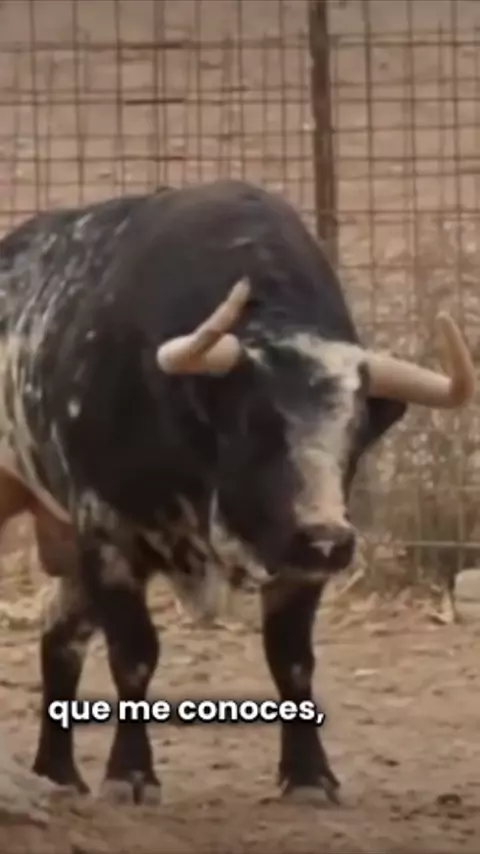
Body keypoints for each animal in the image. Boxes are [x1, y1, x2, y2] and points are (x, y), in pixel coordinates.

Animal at [0, 179, 475, 806]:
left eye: (357, 434)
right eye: (255, 424)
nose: (327, 539)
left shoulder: (296, 563)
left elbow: (292, 660)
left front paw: (309, 775)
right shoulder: (109, 533)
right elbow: (134, 654)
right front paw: (131, 774)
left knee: (60, 637)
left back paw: (57, 773)